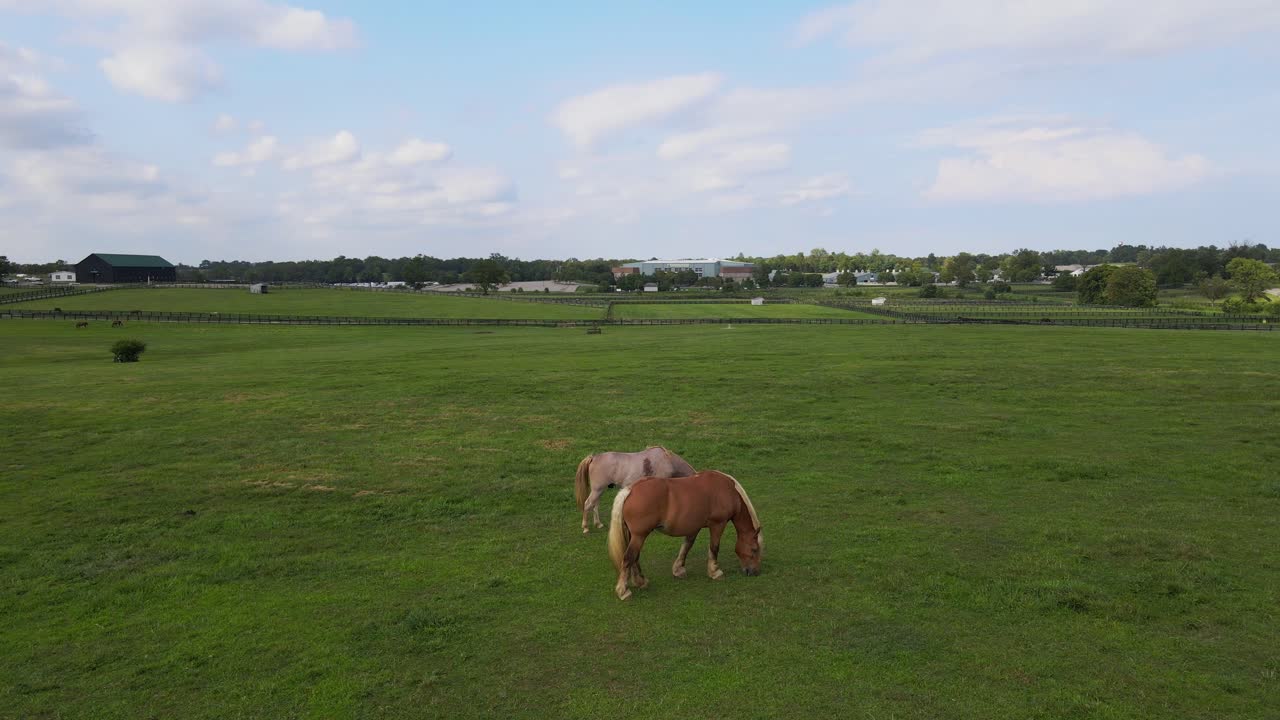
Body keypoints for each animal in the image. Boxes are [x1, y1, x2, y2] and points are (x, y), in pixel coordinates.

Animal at [607, 470, 763, 600]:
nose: (755, 572)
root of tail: (630, 490)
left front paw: (678, 569)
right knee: (629, 557)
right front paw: (715, 572)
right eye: (754, 550)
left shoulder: (694, 527)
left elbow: (687, 546)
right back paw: (624, 591)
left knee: (634, 557)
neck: (728, 491)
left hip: (634, 536)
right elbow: (714, 547)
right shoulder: (718, 524)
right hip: (639, 536)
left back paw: (640, 581)